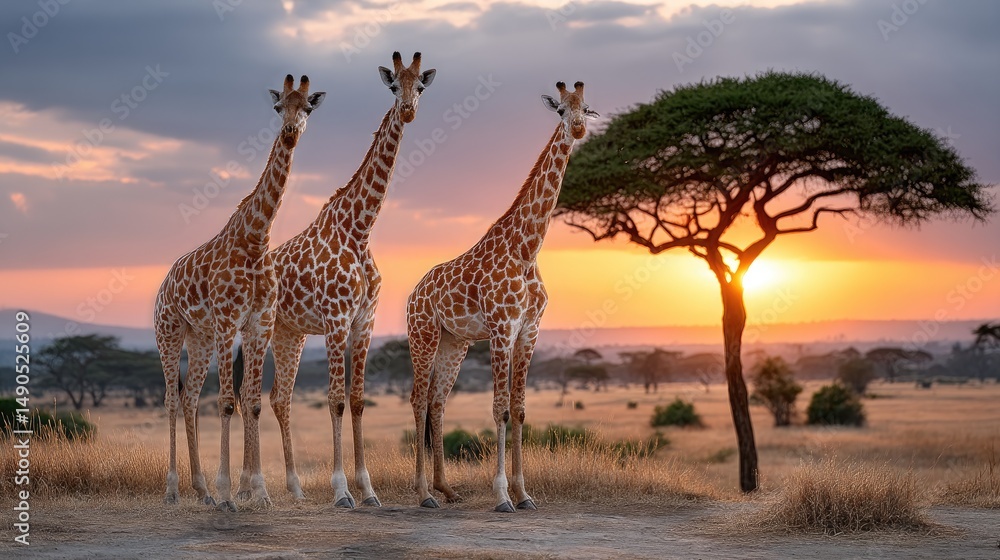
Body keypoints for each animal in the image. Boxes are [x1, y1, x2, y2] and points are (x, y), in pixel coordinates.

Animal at [155, 74, 325, 512]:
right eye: (279, 106)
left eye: (308, 107)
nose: (290, 132)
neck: (256, 239)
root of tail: (164, 284)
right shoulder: (228, 320)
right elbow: (228, 402)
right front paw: (228, 492)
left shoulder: (258, 323)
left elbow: (253, 402)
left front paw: (258, 491)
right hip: (169, 332)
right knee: (170, 399)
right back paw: (174, 489)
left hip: (199, 337)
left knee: (189, 399)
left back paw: (199, 489)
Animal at [268, 52, 435, 507]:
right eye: (394, 85)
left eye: (421, 86)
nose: (409, 111)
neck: (359, 230)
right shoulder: (336, 319)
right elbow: (336, 401)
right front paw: (342, 490)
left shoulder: (364, 321)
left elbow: (358, 401)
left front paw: (368, 489)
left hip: (290, 333)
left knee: (279, 398)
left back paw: (294, 487)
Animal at [407, 81, 598, 512]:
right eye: (560, 110)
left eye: (587, 108)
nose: (578, 130)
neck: (527, 250)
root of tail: (414, 292)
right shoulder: (500, 329)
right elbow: (499, 409)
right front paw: (501, 496)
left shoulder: (529, 330)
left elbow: (520, 409)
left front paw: (524, 494)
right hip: (423, 334)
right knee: (418, 399)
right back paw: (424, 493)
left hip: (454, 342)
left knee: (438, 401)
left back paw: (445, 488)